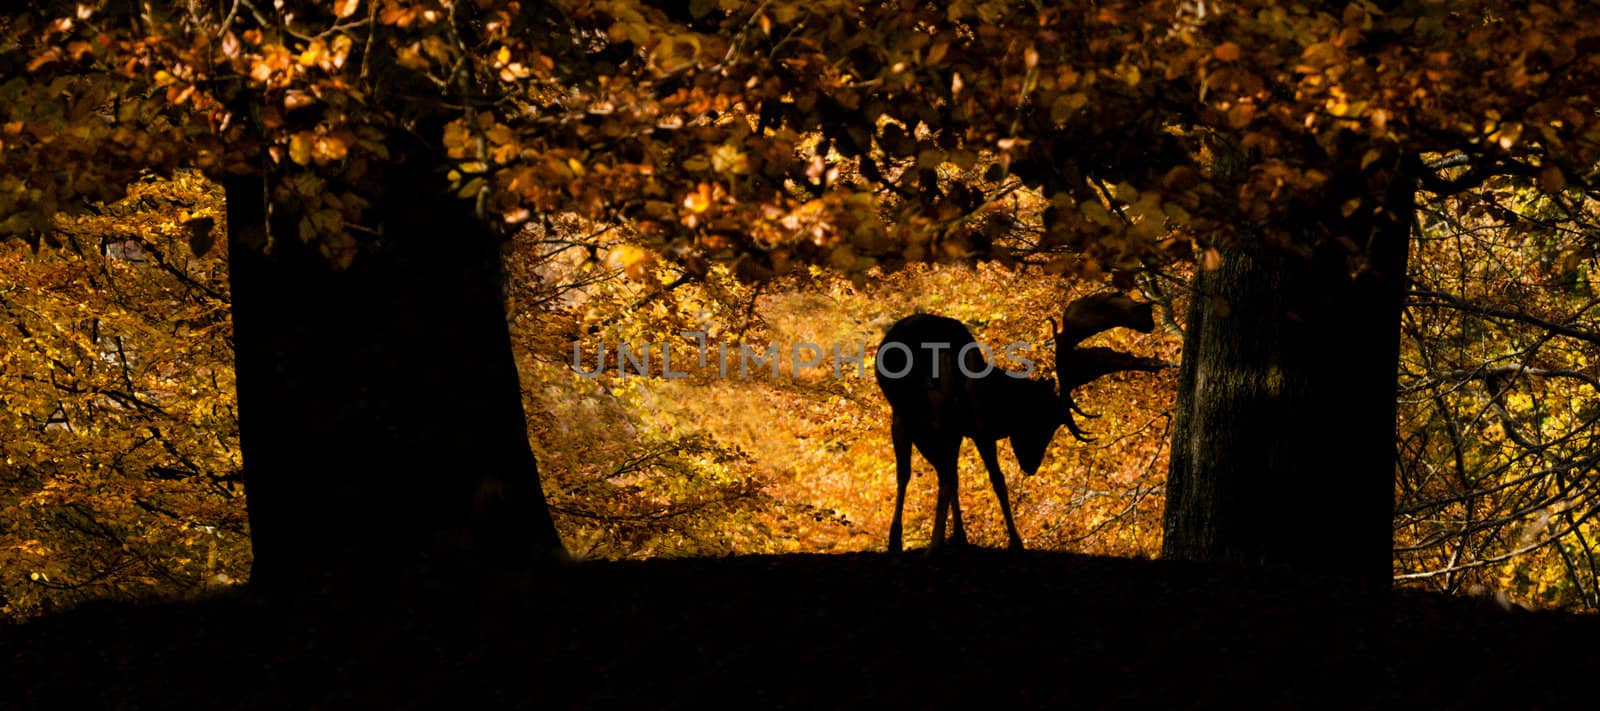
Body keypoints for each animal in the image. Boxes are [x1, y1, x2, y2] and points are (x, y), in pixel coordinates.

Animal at [876, 291, 1164, 554]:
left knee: (945, 473)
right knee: (950, 474)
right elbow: (982, 478)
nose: (1031, 465)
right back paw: (934, 543)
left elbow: (934, 475)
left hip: (931, 415)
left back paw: (931, 542)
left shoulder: (959, 426)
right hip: (939, 416)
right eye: (1045, 420)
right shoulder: (973, 425)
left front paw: (959, 537)